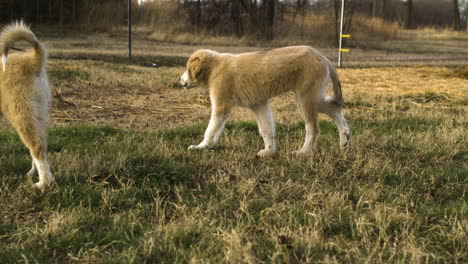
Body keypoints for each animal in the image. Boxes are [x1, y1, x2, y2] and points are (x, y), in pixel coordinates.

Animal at [0, 22, 53, 188]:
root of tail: (31, 60)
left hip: (20, 111)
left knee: (36, 147)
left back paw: (43, 184)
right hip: (39, 111)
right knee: (42, 145)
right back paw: (34, 174)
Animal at [181, 46, 350, 156]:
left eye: (187, 68)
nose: (180, 80)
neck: (215, 67)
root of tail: (323, 58)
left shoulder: (222, 105)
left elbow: (210, 130)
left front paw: (201, 147)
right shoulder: (258, 104)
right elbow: (266, 129)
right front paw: (269, 151)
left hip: (305, 98)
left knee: (313, 128)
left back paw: (304, 152)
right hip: (314, 97)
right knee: (334, 108)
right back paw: (345, 140)